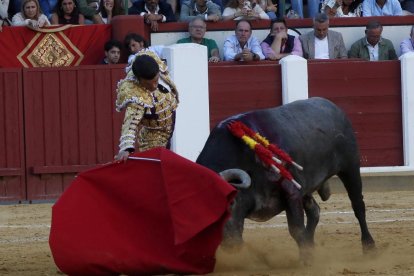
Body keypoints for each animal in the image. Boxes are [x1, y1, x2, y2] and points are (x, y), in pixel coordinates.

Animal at [196, 97, 376, 260]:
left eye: (232, 202)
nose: (230, 245)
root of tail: (334, 107)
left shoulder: (291, 191)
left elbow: (296, 229)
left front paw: (306, 261)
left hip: (350, 167)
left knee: (358, 205)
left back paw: (369, 247)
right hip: (308, 187)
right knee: (314, 210)